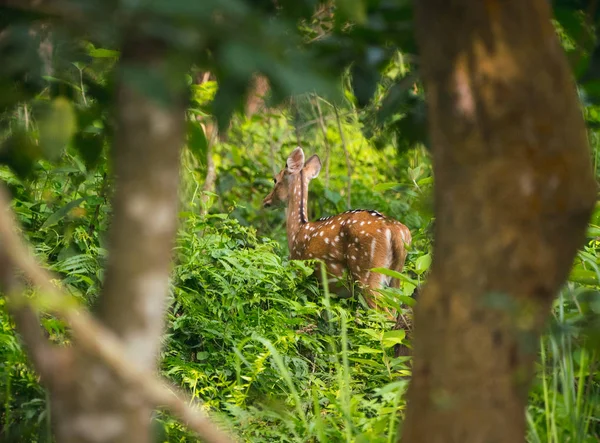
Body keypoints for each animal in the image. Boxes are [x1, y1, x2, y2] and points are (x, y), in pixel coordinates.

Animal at [264, 147, 412, 318]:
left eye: (275, 179)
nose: (266, 201)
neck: (297, 232)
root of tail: (396, 231)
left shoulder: (302, 274)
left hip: (367, 273)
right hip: (396, 276)